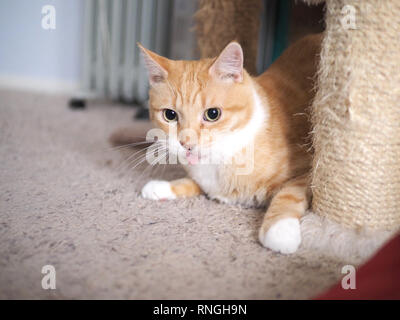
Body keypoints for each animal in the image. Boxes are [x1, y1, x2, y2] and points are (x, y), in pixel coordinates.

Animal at [139, 35, 320, 254]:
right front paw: (162, 187)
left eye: (212, 114)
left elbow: (288, 195)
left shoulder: (308, 170)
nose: (186, 143)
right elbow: (194, 183)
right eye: (170, 115)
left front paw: (279, 230)